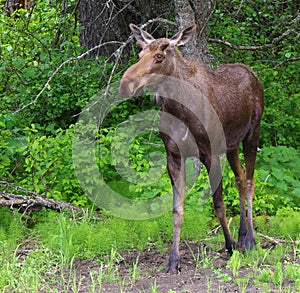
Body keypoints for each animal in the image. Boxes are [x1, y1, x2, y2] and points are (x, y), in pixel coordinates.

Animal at [118, 23, 264, 272]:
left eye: (159, 56)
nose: (125, 84)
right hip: (232, 145)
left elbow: (218, 205)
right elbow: (177, 210)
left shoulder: (210, 154)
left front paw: (230, 245)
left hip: (252, 134)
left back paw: (251, 240)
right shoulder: (174, 156)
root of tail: (252, 73)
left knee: (249, 181)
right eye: (139, 54)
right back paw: (243, 234)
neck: (179, 109)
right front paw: (173, 260)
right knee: (240, 178)